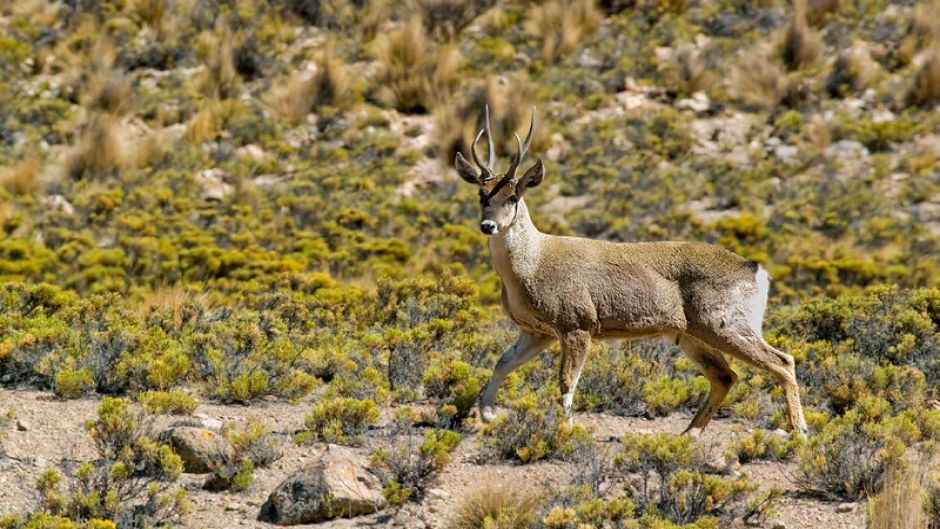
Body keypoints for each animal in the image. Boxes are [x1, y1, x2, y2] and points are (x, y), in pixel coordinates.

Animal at [454, 106, 808, 434]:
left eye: (514, 196)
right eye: (481, 195)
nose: (488, 225)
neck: (534, 264)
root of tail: (757, 270)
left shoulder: (577, 322)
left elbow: (566, 383)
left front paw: (565, 431)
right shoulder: (538, 330)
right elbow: (502, 363)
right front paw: (488, 415)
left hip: (725, 322)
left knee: (782, 361)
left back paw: (799, 433)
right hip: (691, 333)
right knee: (726, 375)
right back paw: (688, 435)